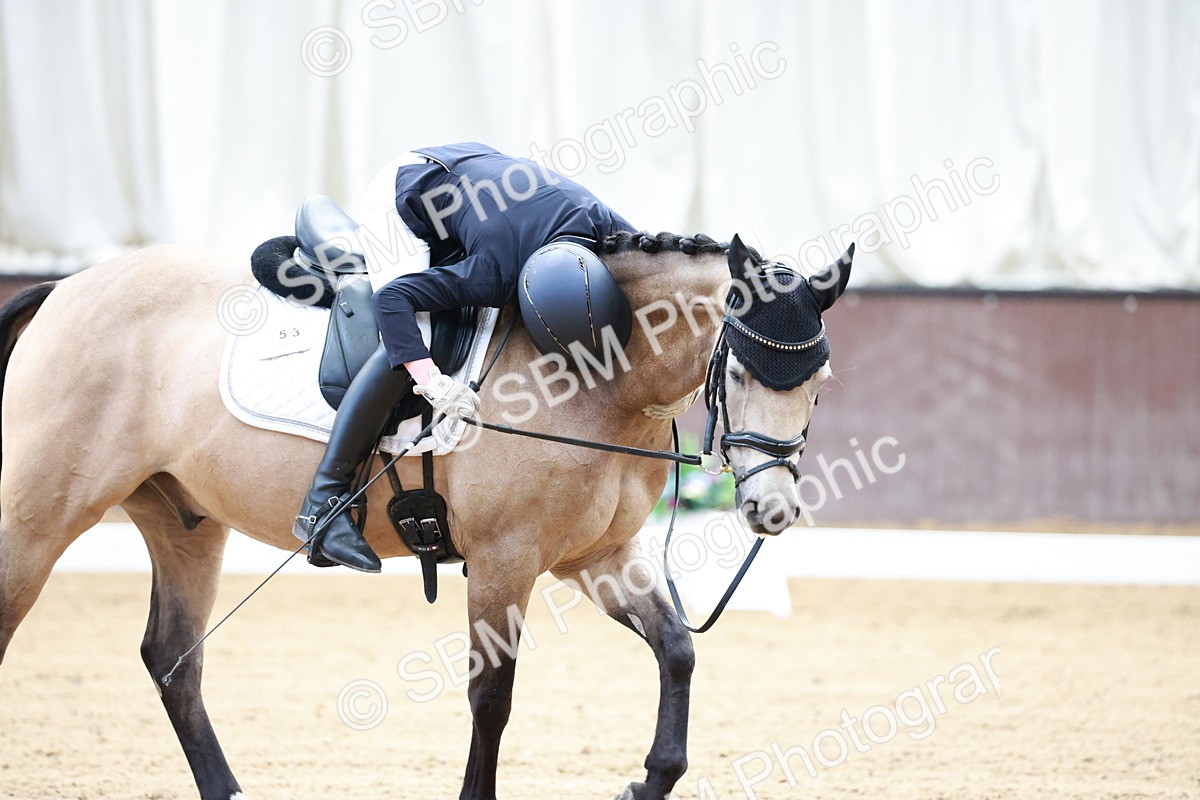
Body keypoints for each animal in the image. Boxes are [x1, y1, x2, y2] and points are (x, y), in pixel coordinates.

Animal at [0, 229, 851, 800]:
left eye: (821, 381)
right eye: (738, 371)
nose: (770, 509)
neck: (593, 373)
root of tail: (66, 287)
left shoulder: (596, 556)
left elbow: (676, 649)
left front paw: (649, 780)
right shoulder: (507, 560)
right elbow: (492, 697)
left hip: (184, 521)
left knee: (173, 659)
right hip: (38, 515)